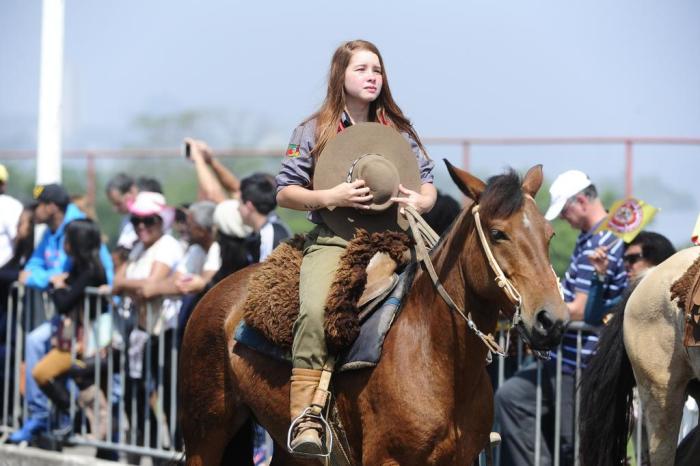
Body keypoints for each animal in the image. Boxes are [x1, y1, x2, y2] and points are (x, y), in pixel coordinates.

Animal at [178, 162, 568, 464]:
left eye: (549, 234)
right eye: (498, 233)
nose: (551, 320)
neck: (434, 354)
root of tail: (216, 294)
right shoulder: (388, 459)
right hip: (206, 435)